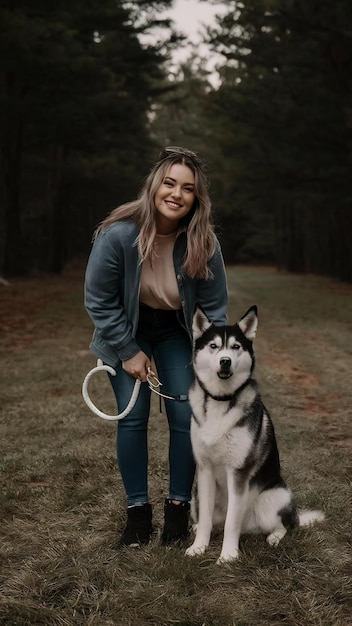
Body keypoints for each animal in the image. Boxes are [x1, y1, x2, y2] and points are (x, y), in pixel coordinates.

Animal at [187, 304, 324, 564]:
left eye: (236, 347)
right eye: (213, 346)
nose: (225, 361)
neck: (221, 400)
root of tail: (250, 529)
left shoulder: (238, 472)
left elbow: (231, 523)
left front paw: (228, 556)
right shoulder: (205, 469)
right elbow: (207, 519)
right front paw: (199, 547)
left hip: (274, 497)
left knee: (284, 524)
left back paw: (274, 538)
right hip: (195, 496)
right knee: (213, 520)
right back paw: (197, 527)